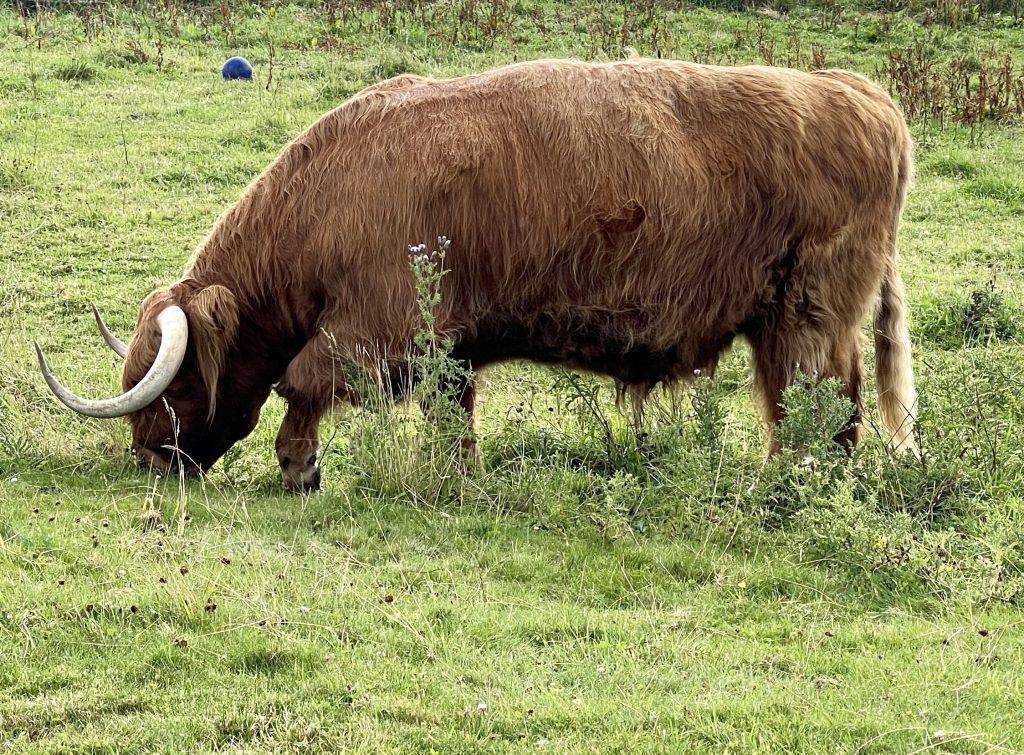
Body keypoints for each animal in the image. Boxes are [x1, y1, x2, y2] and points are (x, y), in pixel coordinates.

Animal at [37, 54, 921, 489]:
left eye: (175, 383)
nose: (148, 458)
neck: (331, 189)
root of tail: (862, 94)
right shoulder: (448, 340)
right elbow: (450, 409)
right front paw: (460, 473)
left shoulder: (379, 322)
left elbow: (307, 378)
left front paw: (298, 466)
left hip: (807, 315)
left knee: (821, 403)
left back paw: (793, 485)